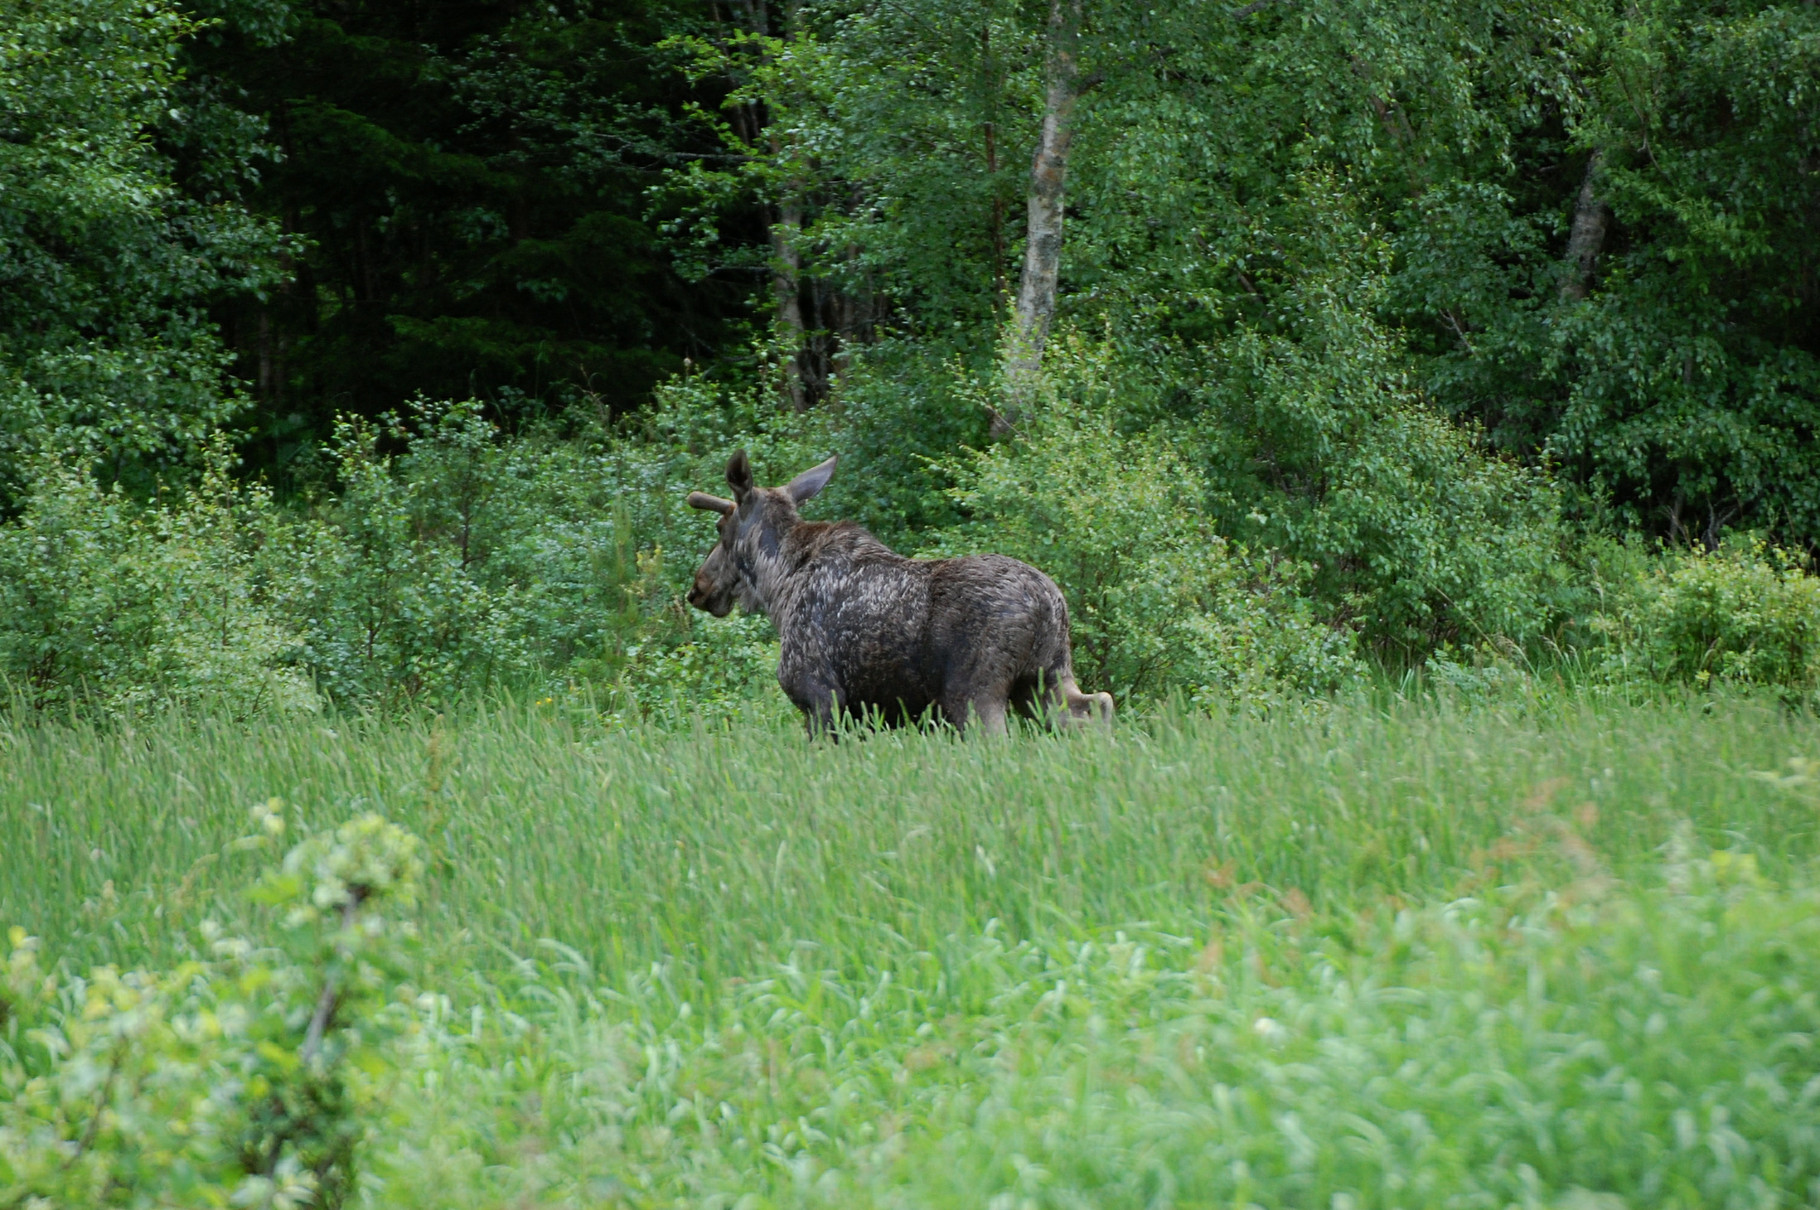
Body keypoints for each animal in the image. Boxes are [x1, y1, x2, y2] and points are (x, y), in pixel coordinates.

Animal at [684, 451, 1106, 735]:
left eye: (721, 527)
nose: (698, 587)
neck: (779, 587)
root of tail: (1048, 603)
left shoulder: (819, 694)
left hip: (975, 690)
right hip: (1045, 678)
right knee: (1098, 705)